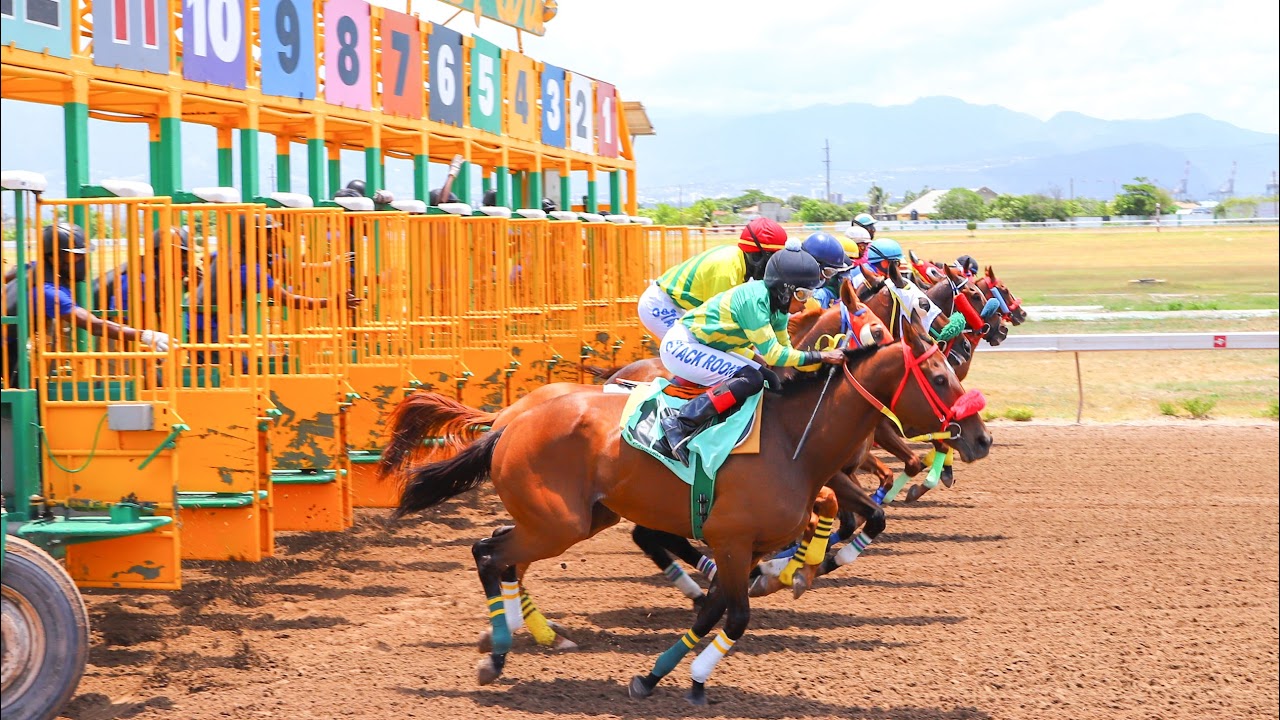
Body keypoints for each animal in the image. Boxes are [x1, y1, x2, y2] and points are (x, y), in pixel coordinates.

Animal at [388, 317, 991, 704]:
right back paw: (499, 654)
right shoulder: (732, 539)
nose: (980, 438)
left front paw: (654, 678)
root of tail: (511, 421)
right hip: (559, 523)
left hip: (579, 517)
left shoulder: (745, 544)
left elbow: (715, 610)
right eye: (940, 377)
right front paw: (699, 679)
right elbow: (738, 615)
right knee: (489, 553)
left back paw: (531, 634)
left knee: (504, 554)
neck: (792, 437)